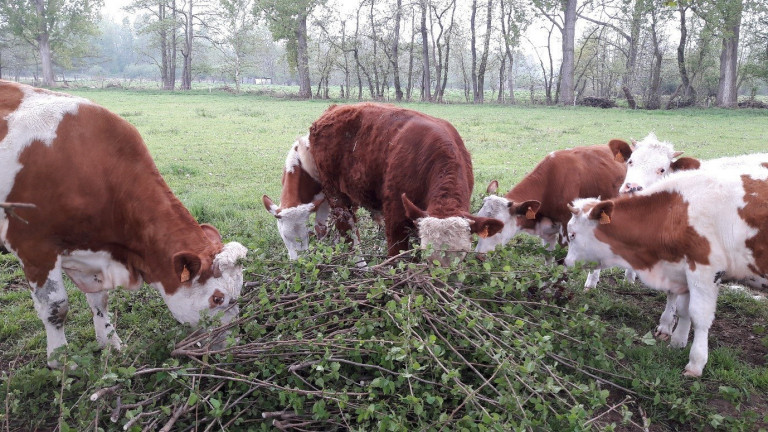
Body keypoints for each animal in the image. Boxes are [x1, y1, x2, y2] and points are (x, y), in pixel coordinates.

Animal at [0, 81, 246, 368]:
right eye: (217, 298)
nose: (231, 346)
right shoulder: (35, 247)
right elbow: (55, 308)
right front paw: (61, 362)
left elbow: (100, 299)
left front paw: (110, 342)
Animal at [306, 104, 504, 266]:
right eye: (428, 256)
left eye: (462, 254)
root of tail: (333, 110)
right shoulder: (395, 216)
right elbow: (396, 257)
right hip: (334, 193)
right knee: (348, 231)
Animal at [474, 143, 632, 288]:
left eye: (498, 228)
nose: (479, 256)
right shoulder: (547, 230)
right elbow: (548, 256)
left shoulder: (567, 229)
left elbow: (563, 261)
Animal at [564, 160, 768, 376]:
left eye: (572, 234)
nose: (566, 262)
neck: (676, 211)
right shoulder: (684, 269)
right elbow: (684, 310)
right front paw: (677, 342)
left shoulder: (705, 271)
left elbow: (699, 316)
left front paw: (696, 362)